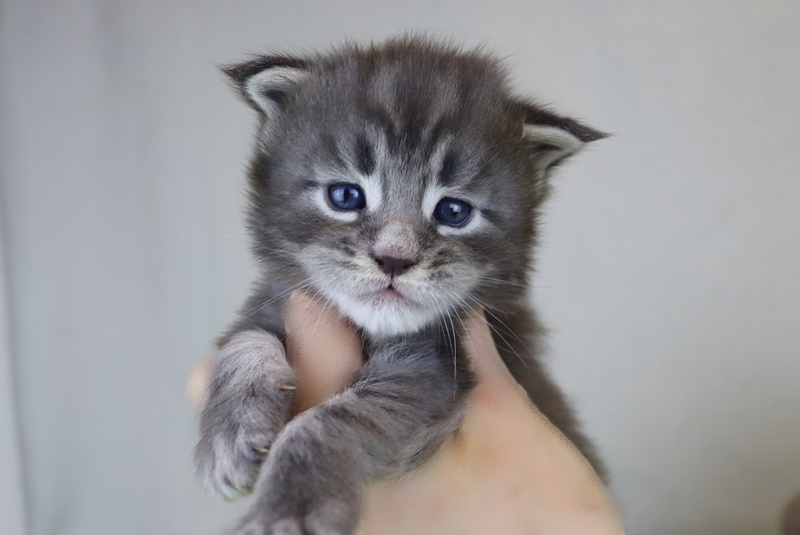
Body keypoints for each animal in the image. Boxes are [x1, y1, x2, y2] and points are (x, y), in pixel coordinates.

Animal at [195, 37, 607, 534]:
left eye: (453, 212)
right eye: (345, 196)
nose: (395, 259)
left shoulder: (432, 368)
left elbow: (331, 420)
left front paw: (289, 508)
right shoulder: (275, 299)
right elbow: (242, 341)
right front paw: (228, 436)